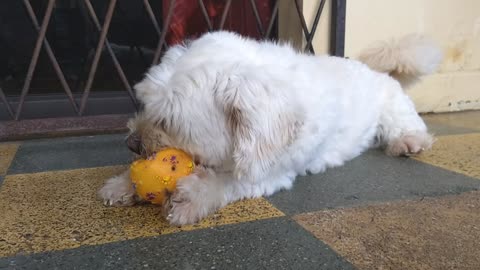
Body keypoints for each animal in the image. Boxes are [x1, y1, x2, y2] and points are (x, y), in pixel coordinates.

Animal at [97, 31, 442, 226]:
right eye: (145, 104)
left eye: (169, 122)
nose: (131, 143)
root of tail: (378, 71)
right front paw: (123, 184)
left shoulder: (270, 170)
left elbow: (227, 181)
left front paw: (192, 196)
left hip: (394, 110)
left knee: (408, 126)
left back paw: (409, 142)